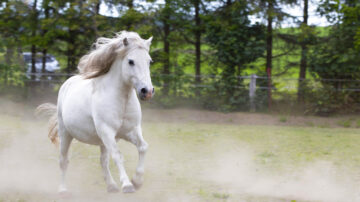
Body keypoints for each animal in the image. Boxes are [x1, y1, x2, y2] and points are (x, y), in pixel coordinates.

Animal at [37, 30, 154, 193]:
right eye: (131, 61)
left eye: (149, 61)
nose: (147, 91)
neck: (121, 100)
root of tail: (68, 83)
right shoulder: (107, 131)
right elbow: (117, 155)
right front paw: (127, 185)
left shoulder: (131, 130)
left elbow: (143, 147)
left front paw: (137, 181)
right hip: (65, 133)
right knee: (63, 160)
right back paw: (63, 190)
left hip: (102, 141)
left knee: (103, 161)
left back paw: (111, 186)